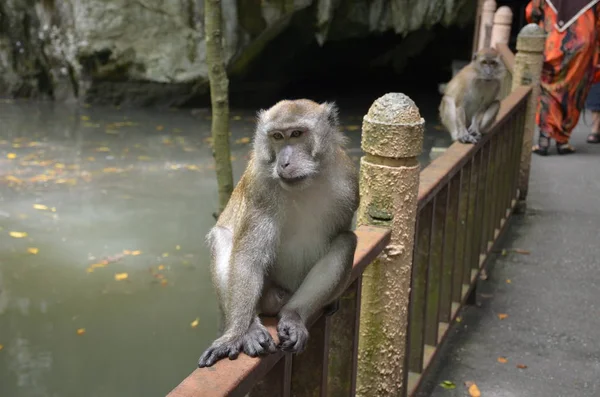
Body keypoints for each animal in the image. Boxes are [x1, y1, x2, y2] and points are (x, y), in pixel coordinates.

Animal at [197, 98, 358, 366]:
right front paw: (236, 334)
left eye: (297, 134)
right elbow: (248, 257)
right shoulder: (260, 185)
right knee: (224, 238)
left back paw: (293, 315)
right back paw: (250, 327)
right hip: (268, 295)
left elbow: (344, 232)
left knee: (346, 241)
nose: (284, 163)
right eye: (277, 137)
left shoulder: (349, 182)